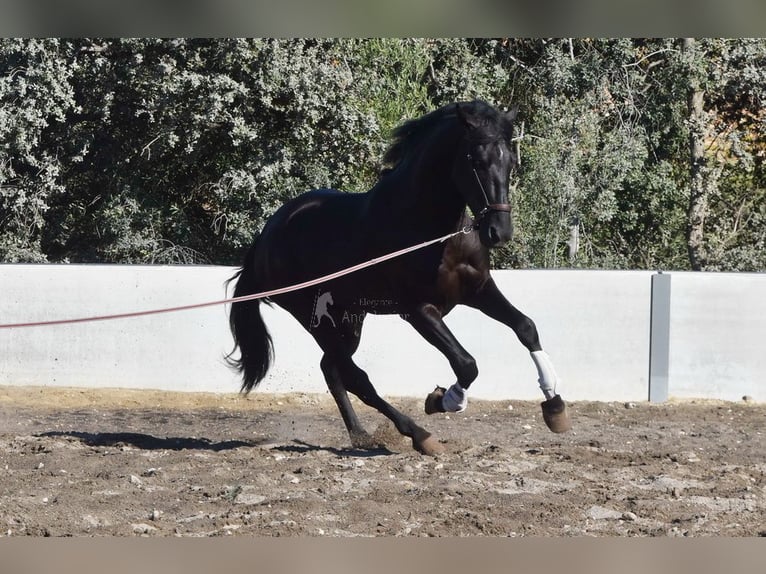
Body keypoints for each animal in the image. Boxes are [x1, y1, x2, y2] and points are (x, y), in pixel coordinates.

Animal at [227, 100, 571, 455]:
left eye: (511, 161)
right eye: (475, 160)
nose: (499, 232)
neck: (433, 232)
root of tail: (265, 239)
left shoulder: (478, 290)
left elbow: (525, 327)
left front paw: (555, 407)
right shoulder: (419, 311)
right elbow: (466, 364)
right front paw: (441, 400)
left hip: (349, 318)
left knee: (333, 370)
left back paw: (361, 434)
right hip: (316, 319)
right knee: (355, 377)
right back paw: (419, 434)